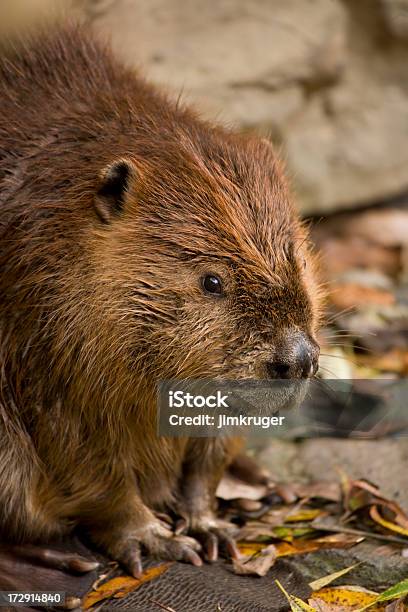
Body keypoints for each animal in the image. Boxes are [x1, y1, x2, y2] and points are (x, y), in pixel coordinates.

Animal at [0, 21, 324, 576]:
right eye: (211, 281)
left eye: (298, 257)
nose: (298, 359)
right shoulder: (38, 340)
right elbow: (86, 462)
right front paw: (156, 539)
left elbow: (210, 446)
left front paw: (210, 526)